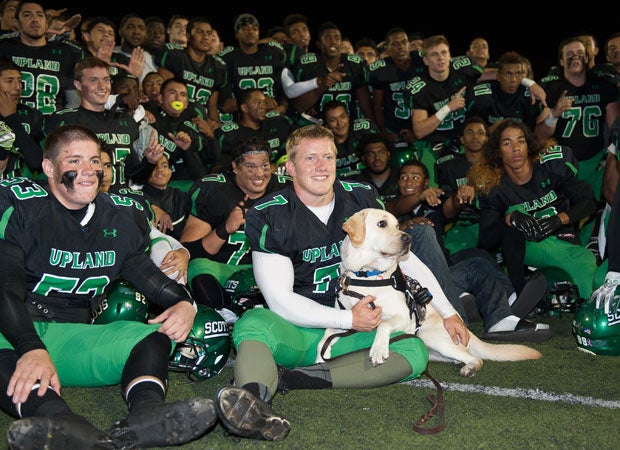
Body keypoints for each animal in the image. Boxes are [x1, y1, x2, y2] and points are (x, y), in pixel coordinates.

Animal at [320, 207, 544, 376]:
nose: (407, 238)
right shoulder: (347, 314)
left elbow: (383, 324)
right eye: (381, 224)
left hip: (429, 334)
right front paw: (321, 350)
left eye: (398, 226)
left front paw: (378, 350)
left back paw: (469, 368)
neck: (365, 274)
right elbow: (329, 329)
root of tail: (469, 332)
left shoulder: (402, 318)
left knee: (476, 358)